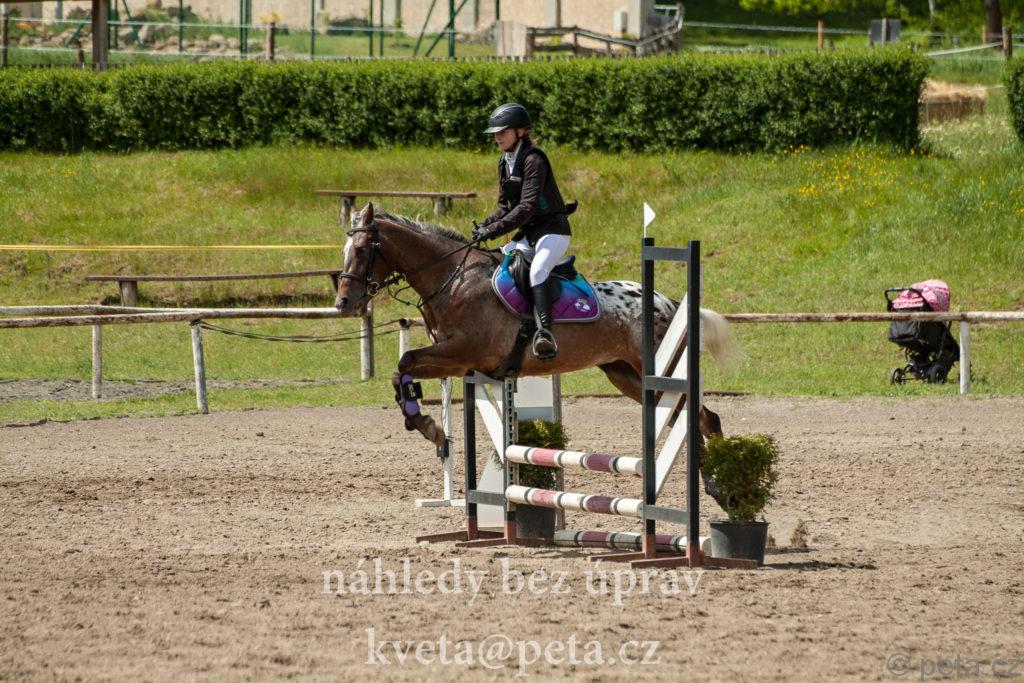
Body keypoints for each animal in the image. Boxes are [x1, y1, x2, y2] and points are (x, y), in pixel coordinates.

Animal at [333, 203, 740, 450]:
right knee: (688, 418)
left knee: (705, 418)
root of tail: (670, 303)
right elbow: (402, 369)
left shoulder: (461, 354)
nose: (343, 303)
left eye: (364, 250)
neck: (451, 279)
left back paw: (718, 484)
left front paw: (427, 425)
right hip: (625, 374)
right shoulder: (455, 361)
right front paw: (428, 426)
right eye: (345, 251)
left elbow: (405, 362)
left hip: (660, 369)